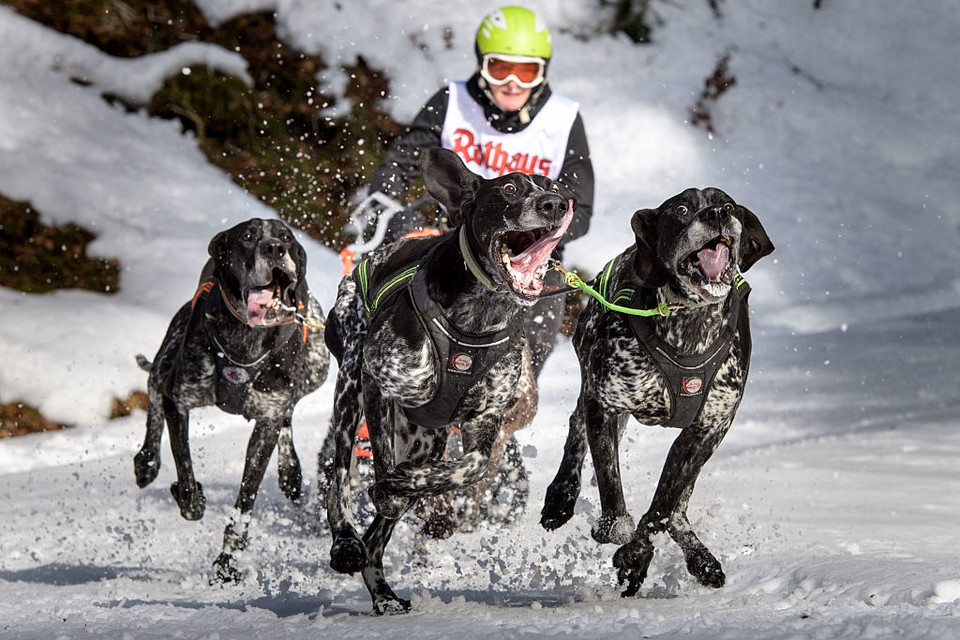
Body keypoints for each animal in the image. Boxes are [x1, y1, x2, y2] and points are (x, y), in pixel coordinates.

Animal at [133, 218, 330, 584]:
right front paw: (190, 500)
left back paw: (290, 470)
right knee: (153, 386)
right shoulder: (178, 400)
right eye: (247, 236)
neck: (247, 342)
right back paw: (146, 462)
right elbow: (184, 467)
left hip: (316, 368)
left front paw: (227, 565)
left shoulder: (267, 423)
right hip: (168, 357)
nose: (274, 248)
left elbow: (244, 504)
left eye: (286, 237)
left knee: (291, 407)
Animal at [326, 146, 572, 616]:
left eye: (555, 187)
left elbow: (465, 469)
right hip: (349, 387)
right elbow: (379, 458)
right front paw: (390, 485)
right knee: (340, 480)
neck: (478, 317)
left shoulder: (485, 424)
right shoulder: (378, 383)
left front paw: (407, 483)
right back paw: (346, 542)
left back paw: (383, 594)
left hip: (428, 437)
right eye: (509, 187)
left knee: (378, 538)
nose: (555, 205)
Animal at [540, 188, 772, 596]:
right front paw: (616, 530)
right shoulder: (605, 405)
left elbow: (664, 505)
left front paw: (637, 556)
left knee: (679, 507)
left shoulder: (708, 428)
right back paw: (561, 496)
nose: (718, 213)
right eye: (681, 209)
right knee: (575, 429)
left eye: (729, 204)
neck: (689, 323)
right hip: (592, 388)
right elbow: (611, 488)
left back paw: (700, 558)